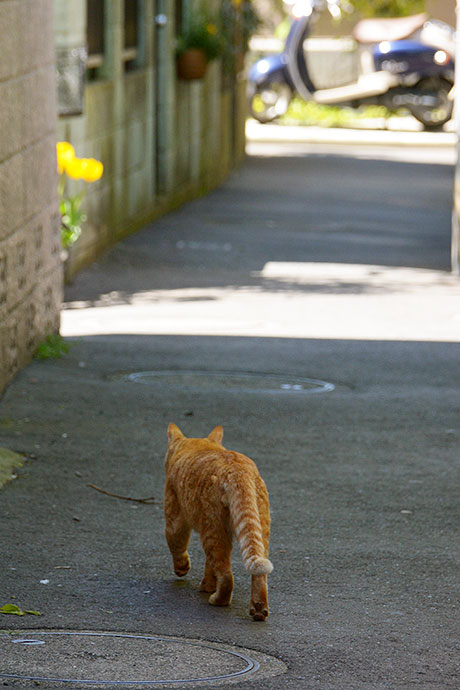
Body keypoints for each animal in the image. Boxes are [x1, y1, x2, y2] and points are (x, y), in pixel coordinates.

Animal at [165, 422, 274, 620]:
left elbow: (177, 544)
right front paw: (207, 585)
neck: (199, 446)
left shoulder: (174, 516)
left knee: (226, 576)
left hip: (213, 528)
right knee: (259, 575)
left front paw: (183, 569)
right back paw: (258, 609)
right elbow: (210, 565)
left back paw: (217, 600)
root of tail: (237, 470)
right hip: (260, 527)